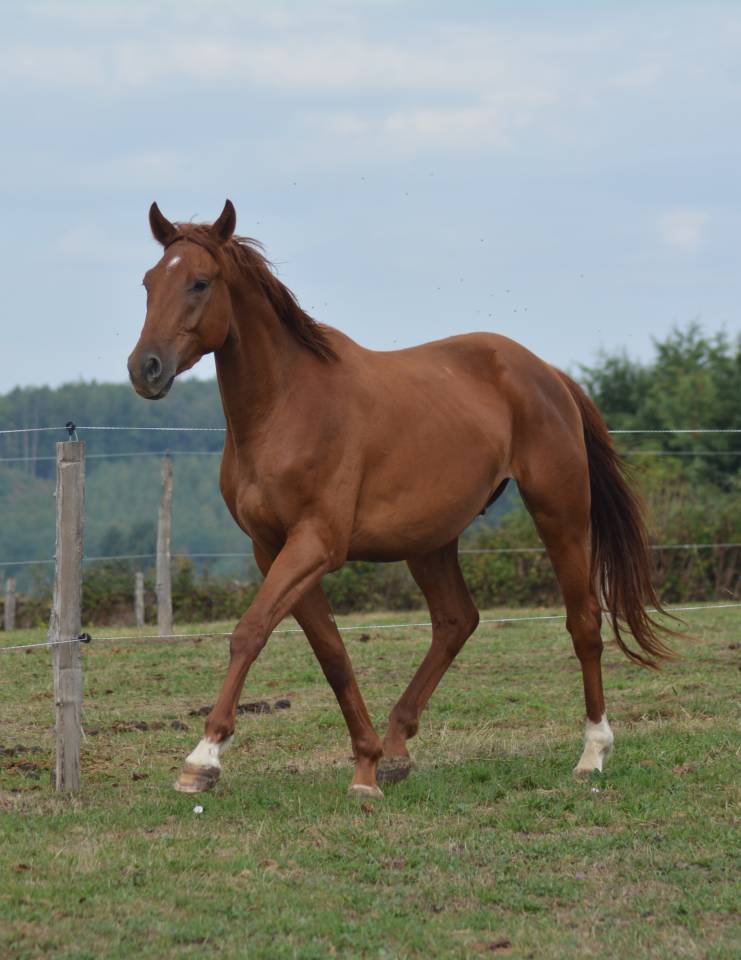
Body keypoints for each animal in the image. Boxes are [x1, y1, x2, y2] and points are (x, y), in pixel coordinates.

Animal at [128, 199, 674, 799]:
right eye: (149, 282)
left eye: (200, 282)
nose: (144, 368)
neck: (286, 408)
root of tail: (547, 373)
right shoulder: (273, 550)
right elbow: (332, 653)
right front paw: (367, 764)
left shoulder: (315, 544)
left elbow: (249, 632)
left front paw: (203, 758)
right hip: (431, 539)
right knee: (457, 621)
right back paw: (395, 748)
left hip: (561, 513)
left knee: (584, 623)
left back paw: (592, 753)